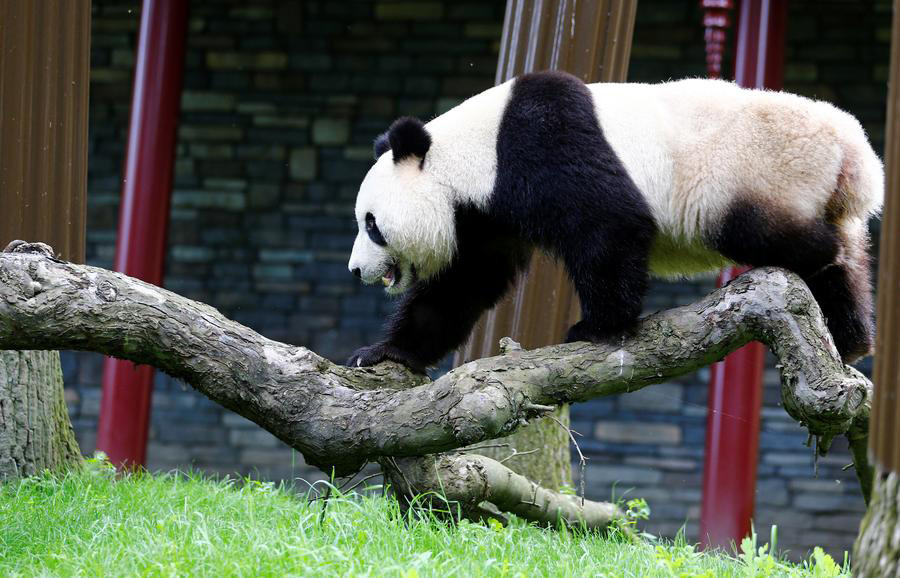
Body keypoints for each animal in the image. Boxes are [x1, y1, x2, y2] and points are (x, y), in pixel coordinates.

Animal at [346, 70, 884, 372]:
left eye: (371, 224)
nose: (354, 270)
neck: (474, 150)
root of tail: (853, 155)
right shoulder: (487, 215)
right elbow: (461, 284)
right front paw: (385, 352)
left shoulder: (543, 143)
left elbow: (608, 226)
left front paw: (598, 328)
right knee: (849, 260)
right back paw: (851, 336)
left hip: (756, 171)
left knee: (775, 235)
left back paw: (822, 264)